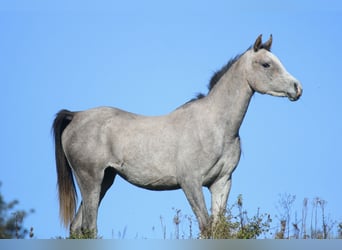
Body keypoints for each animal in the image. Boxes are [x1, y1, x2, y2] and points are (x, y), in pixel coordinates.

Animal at [52, 34, 302, 236]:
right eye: (266, 64)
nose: (297, 88)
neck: (216, 127)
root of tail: (76, 115)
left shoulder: (221, 182)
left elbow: (218, 228)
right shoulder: (190, 182)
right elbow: (206, 227)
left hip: (105, 180)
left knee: (76, 227)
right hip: (90, 179)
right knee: (89, 227)